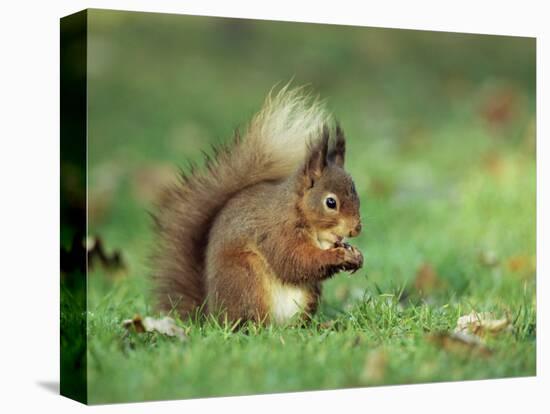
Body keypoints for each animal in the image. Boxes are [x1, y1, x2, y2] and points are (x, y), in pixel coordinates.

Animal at [153, 85, 364, 326]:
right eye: (331, 202)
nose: (356, 229)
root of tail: (212, 316)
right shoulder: (277, 232)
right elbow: (294, 260)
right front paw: (338, 256)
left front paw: (355, 254)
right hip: (247, 279)